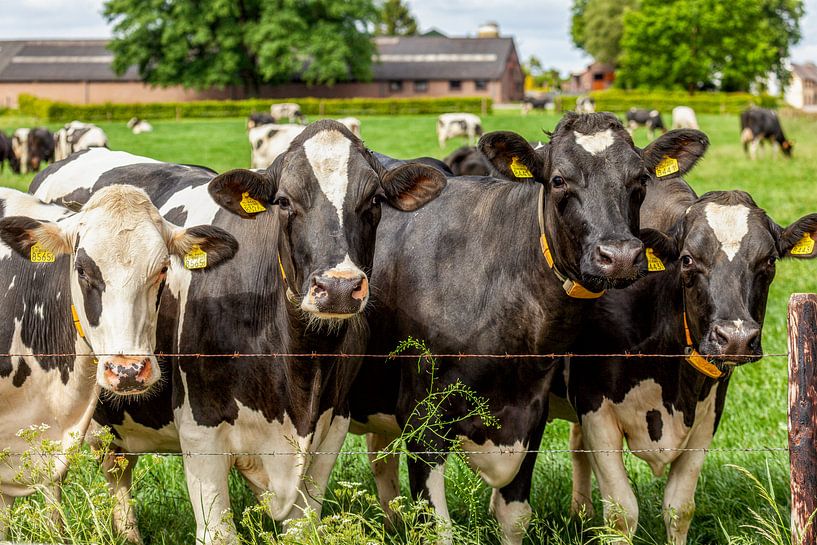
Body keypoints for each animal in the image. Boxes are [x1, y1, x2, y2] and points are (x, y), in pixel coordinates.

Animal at [30, 120, 446, 544]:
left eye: (374, 200)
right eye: (283, 201)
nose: (339, 287)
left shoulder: (332, 429)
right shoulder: (201, 433)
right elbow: (217, 533)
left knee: (117, 468)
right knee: (49, 476)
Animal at [350, 111, 708, 544]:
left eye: (639, 180)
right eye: (558, 180)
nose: (620, 256)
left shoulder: (530, 414)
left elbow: (514, 515)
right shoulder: (423, 421)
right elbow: (438, 527)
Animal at [556, 183, 816, 544]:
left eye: (769, 261)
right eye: (687, 260)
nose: (736, 337)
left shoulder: (708, 413)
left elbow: (679, 509)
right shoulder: (594, 406)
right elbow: (622, 513)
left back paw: (580, 512)